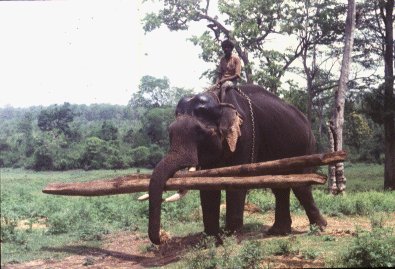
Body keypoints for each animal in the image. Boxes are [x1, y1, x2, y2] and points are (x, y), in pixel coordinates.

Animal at [147, 84, 326, 245]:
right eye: (170, 132)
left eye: (202, 132)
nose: (161, 239)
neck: (218, 99)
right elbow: (207, 185)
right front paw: (211, 240)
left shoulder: (244, 135)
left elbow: (236, 180)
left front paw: (229, 237)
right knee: (280, 186)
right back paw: (278, 232)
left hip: (305, 147)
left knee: (301, 185)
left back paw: (319, 228)